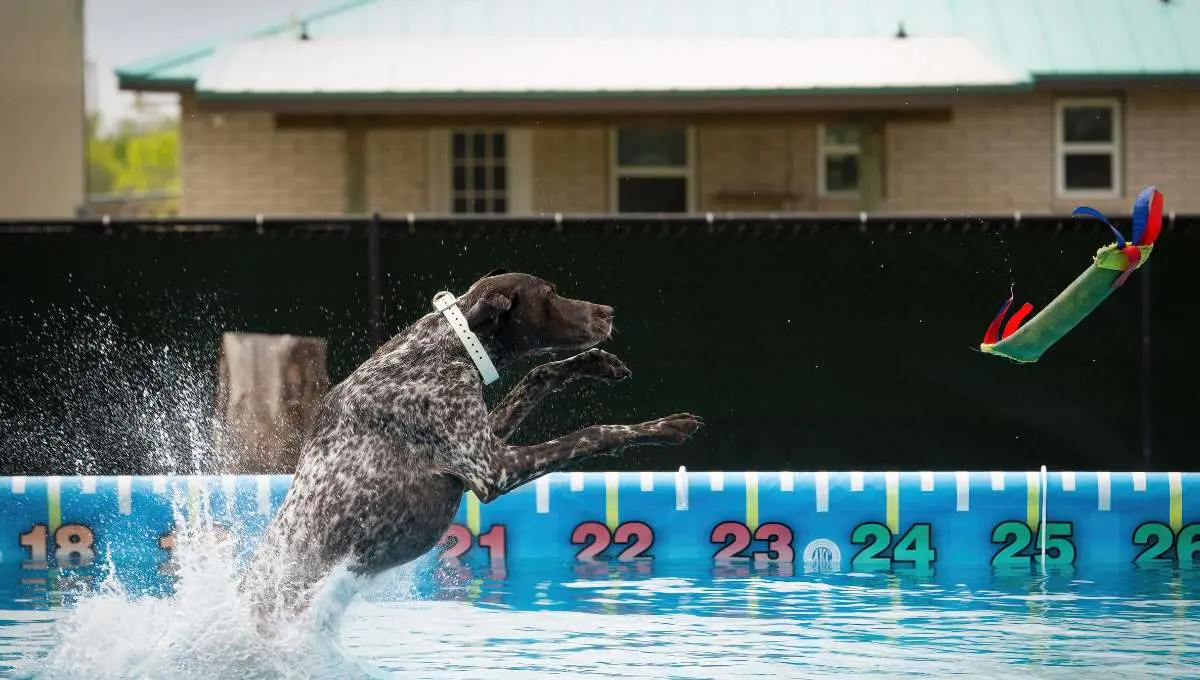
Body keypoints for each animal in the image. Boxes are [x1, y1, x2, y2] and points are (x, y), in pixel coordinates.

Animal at [237, 269, 700, 628]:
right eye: (550, 294)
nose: (608, 312)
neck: (449, 346)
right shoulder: (493, 468)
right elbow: (594, 433)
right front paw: (664, 427)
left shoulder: (485, 439)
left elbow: (538, 375)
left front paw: (596, 363)